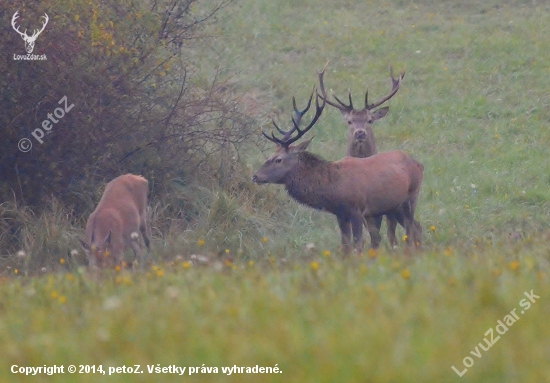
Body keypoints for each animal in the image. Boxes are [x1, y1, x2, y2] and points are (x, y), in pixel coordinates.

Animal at [252, 88, 424, 255]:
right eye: (271, 155)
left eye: (278, 159)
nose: (255, 176)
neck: (334, 189)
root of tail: (419, 164)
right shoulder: (340, 214)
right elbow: (345, 246)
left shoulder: (357, 210)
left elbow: (358, 245)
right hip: (393, 207)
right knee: (416, 227)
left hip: (411, 196)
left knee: (411, 229)